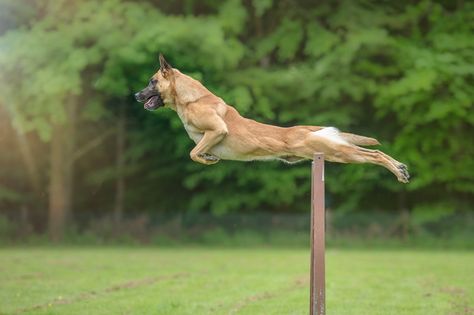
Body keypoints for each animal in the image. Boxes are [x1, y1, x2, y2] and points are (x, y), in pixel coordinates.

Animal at [135, 54, 410, 183]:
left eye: (151, 82)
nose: (136, 95)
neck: (190, 99)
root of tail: (309, 128)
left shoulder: (217, 130)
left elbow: (193, 152)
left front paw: (208, 159)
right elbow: (195, 152)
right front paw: (209, 157)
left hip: (336, 152)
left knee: (374, 155)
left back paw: (398, 171)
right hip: (336, 149)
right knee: (374, 152)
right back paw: (401, 168)